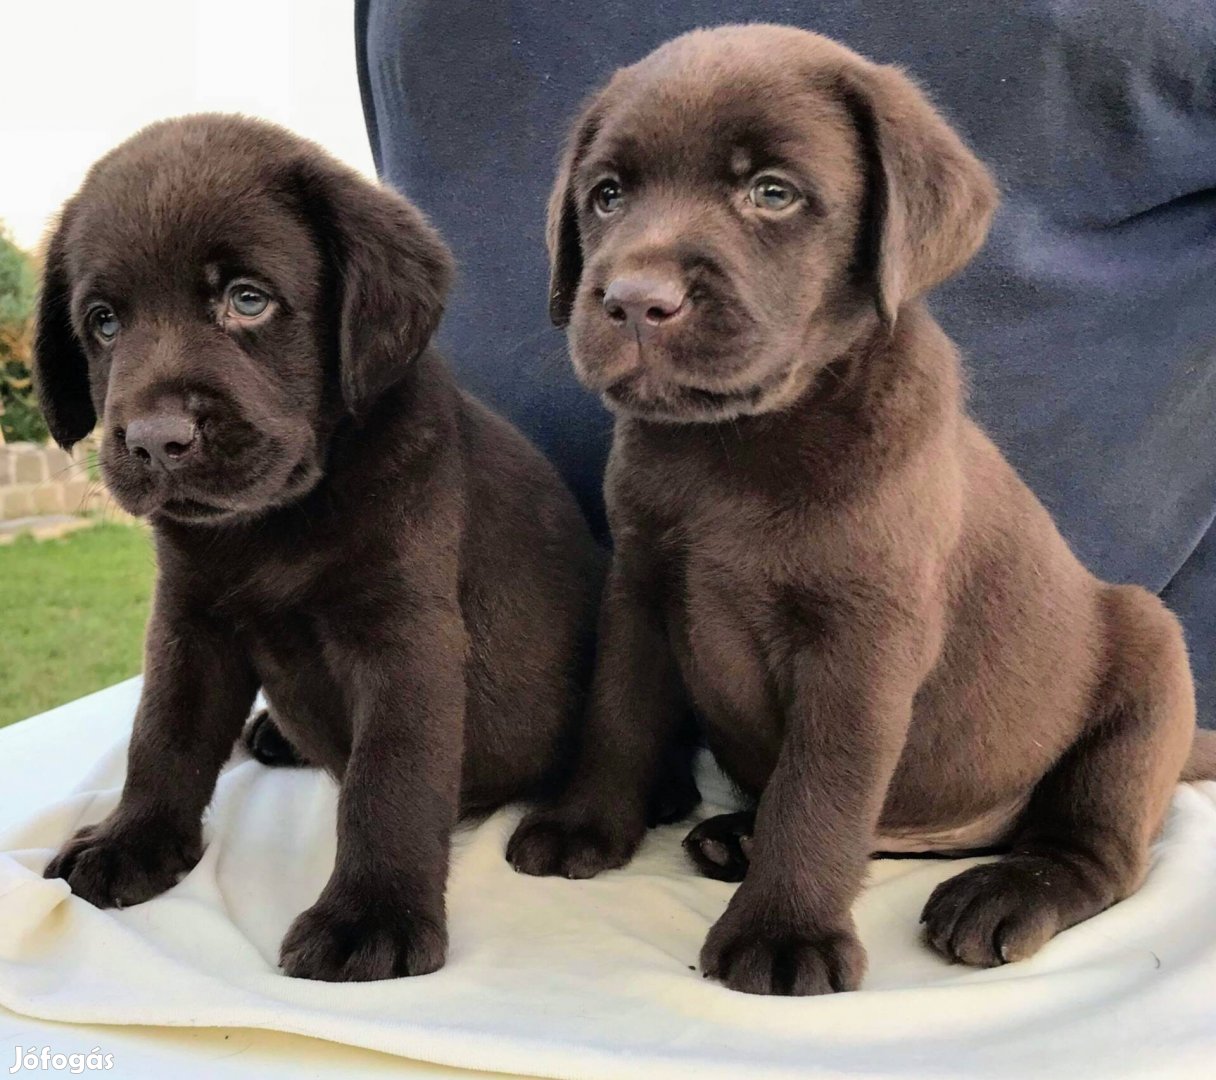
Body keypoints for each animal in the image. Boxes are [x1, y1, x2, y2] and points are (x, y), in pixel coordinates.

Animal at [35, 116, 605, 977]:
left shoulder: (405, 639)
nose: (156, 440)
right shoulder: (189, 623)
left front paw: (371, 915)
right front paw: (133, 841)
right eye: (103, 320)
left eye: (248, 299)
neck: (276, 522)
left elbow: (388, 783)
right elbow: (161, 735)